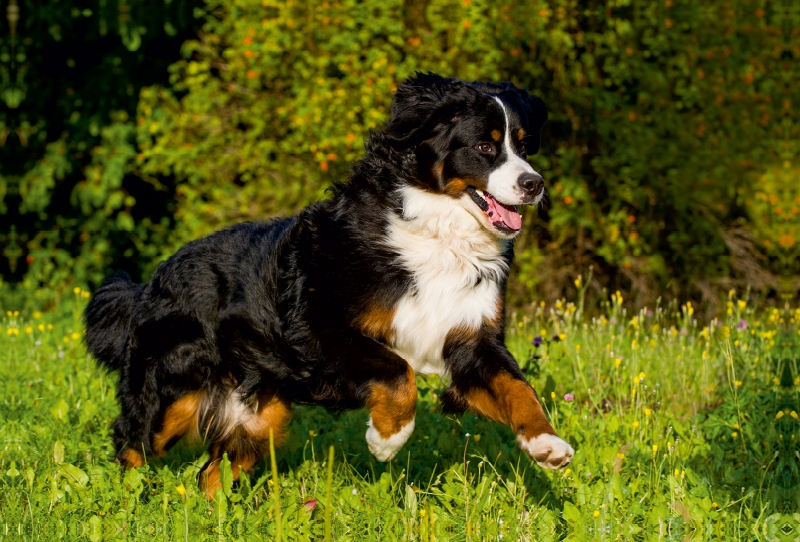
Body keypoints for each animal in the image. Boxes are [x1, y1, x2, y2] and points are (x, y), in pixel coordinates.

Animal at [84, 74, 576, 500]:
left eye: (525, 146)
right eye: (485, 146)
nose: (534, 184)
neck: (440, 233)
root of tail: (149, 284)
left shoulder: (470, 342)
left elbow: (519, 388)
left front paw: (546, 443)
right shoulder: (319, 329)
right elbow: (399, 373)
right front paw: (387, 439)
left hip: (258, 420)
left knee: (211, 474)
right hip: (172, 394)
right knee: (132, 440)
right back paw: (124, 500)